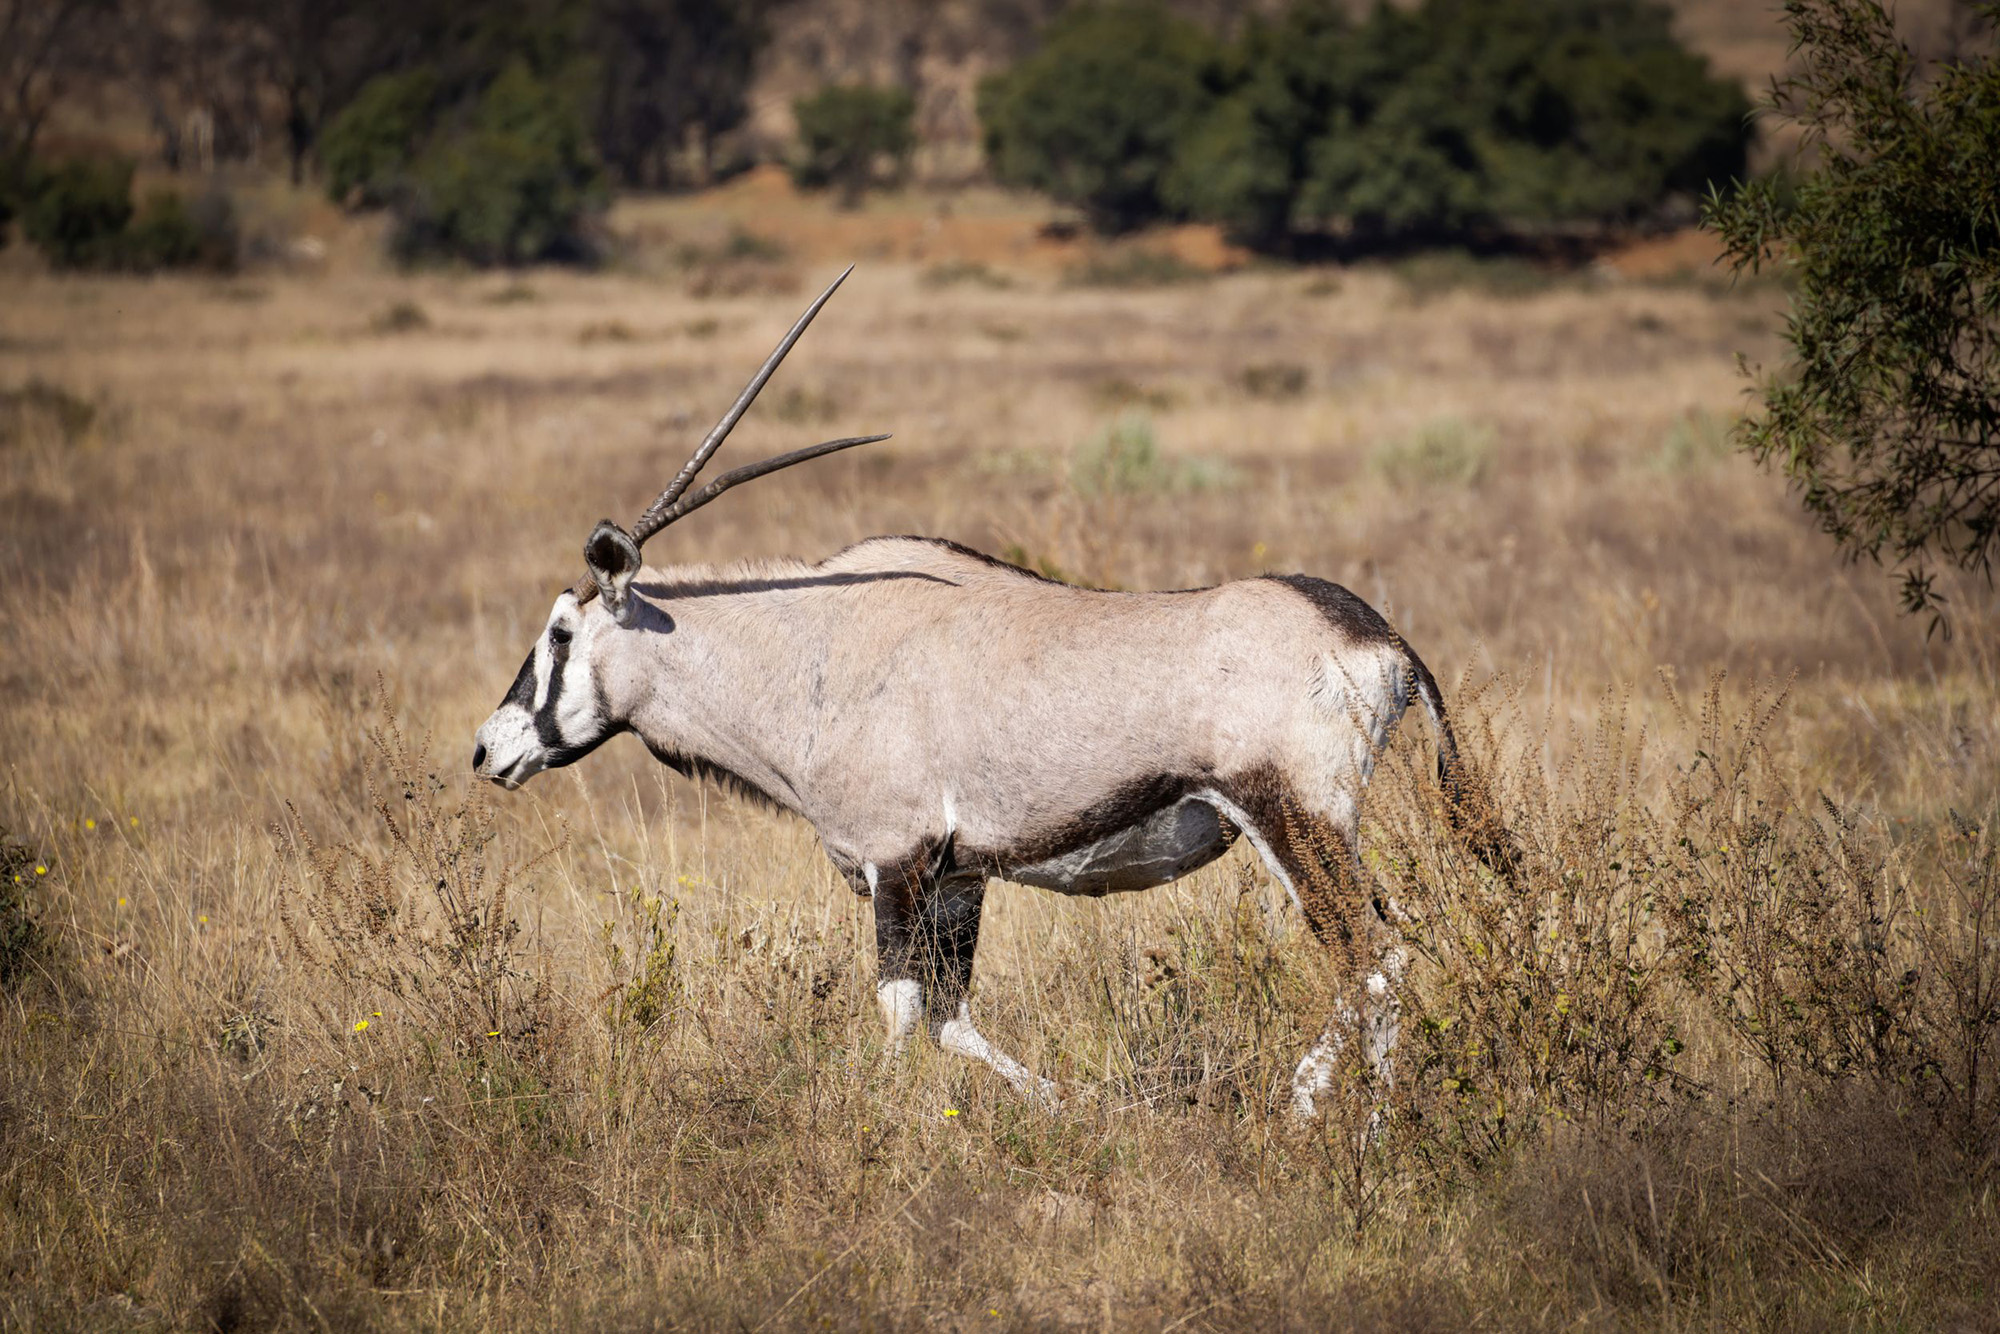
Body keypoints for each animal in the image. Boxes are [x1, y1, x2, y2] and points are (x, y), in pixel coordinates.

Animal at [472, 268, 1513, 1115]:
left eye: (560, 633)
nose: (490, 749)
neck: (813, 647)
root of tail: (1377, 637)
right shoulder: (956, 877)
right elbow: (951, 1021)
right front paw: (1078, 1111)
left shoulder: (895, 866)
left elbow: (899, 1017)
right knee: (1380, 956)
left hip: (1295, 819)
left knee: (1374, 961)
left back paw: (1332, 1120)